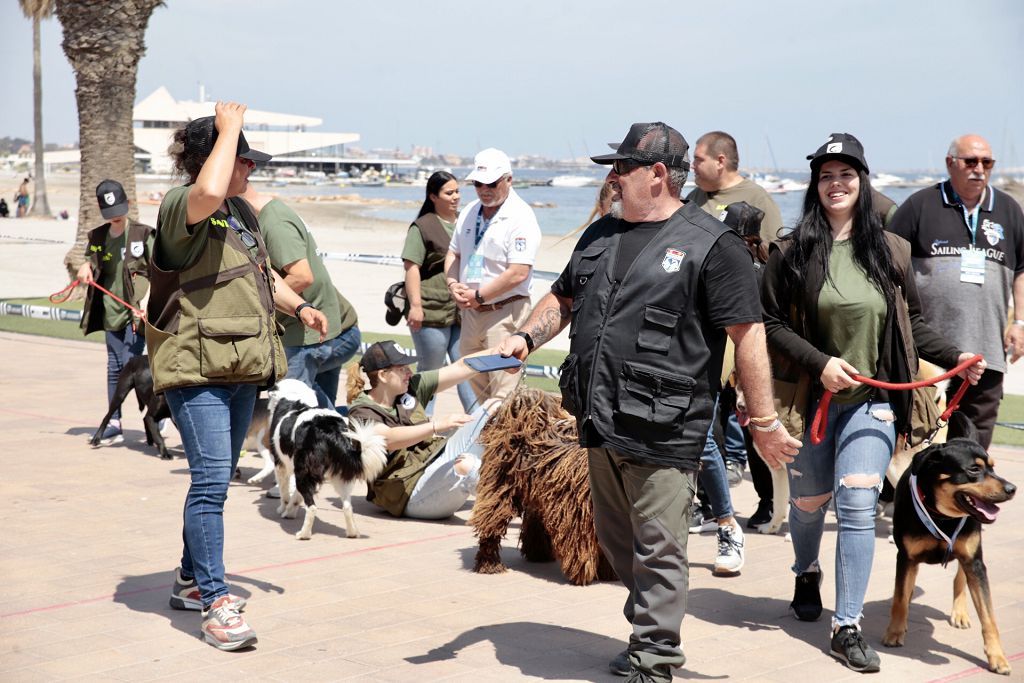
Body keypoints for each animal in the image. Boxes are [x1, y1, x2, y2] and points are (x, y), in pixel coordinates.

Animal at [471, 387, 614, 585]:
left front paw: (609, 571)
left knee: (534, 521)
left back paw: (538, 553)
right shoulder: (576, 511)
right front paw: (582, 572)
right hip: (500, 490)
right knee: (491, 524)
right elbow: (581, 545)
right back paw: (489, 563)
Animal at [880, 411, 1015, 671]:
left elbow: (988, 616)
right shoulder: (906, 557)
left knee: (960, 577)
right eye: (973, 469)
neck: (941, 516)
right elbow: (900, 597)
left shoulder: (975, 561)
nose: (1012, 488)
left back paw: (960, 613)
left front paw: (997, 657)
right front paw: (894, 632)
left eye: (993, 468)